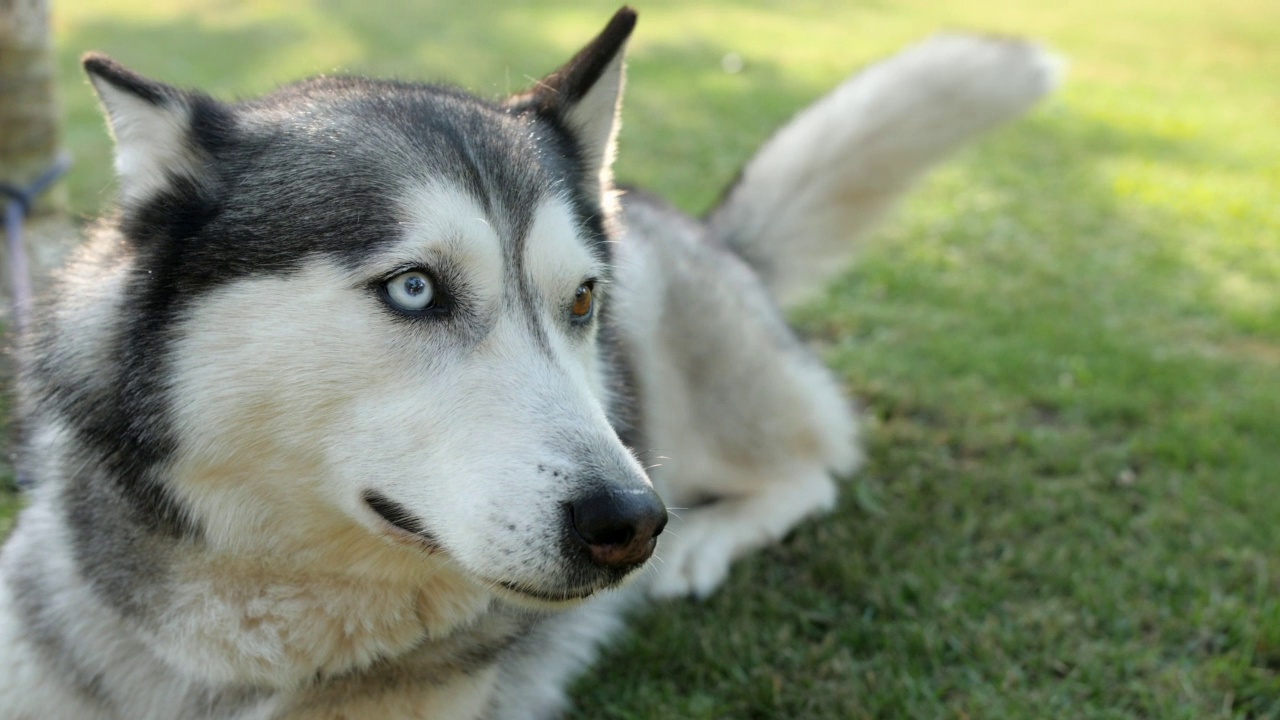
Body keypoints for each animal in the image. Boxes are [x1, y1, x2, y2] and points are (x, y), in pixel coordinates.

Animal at [0, 7, 1059, 717]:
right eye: (414, 289)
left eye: (582, 299)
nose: (631, 525)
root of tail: (697, 224)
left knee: (814, 464)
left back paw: (713, 536)